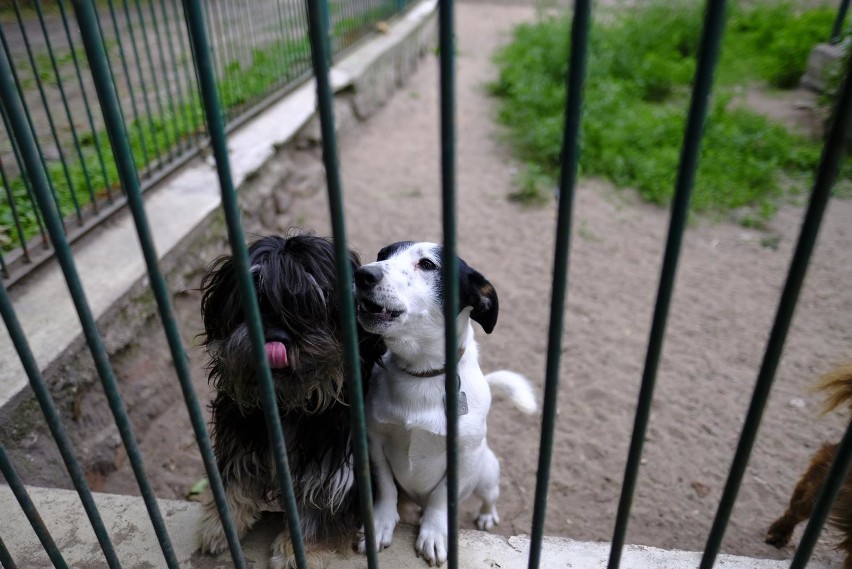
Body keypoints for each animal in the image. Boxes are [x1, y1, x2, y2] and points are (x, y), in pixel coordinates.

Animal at [196, 231, 382, 568]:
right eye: (254, 300)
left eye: (310, 305)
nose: (276, 339)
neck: (289, 406)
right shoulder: (241, 434)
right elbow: (235, 480)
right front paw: (219, 525)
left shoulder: (336, 460)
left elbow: (319, 502)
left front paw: (299, 551)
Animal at [352, 240, 532, 564]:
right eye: (382, 255)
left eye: (427, 264)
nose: (362, 275)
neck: (421, 375)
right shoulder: (375, 440)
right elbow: (386, 487)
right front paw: (382, 523)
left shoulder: (463, 456)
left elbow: (440, 498)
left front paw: (434, 534)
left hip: (487, 473)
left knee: (490, 496)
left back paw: (486, 516)